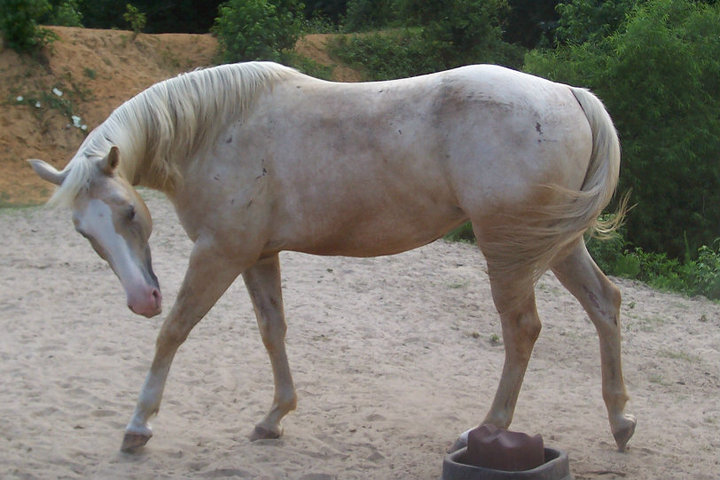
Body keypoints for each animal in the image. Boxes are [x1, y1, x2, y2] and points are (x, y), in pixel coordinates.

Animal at [29, 61, 636, 454]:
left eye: (129, 213)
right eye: (84, 231)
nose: (141, 298)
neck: (216, 129)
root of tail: (568, 93)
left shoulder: (220, 253)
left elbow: (173, 332)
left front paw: (139, 425)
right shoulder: (257, 255)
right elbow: (272, 331)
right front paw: (274, 418)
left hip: (509, 252)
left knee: (522, 330)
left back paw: (484, 431)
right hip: (556, 244)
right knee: (605, 305)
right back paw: (621, 420)